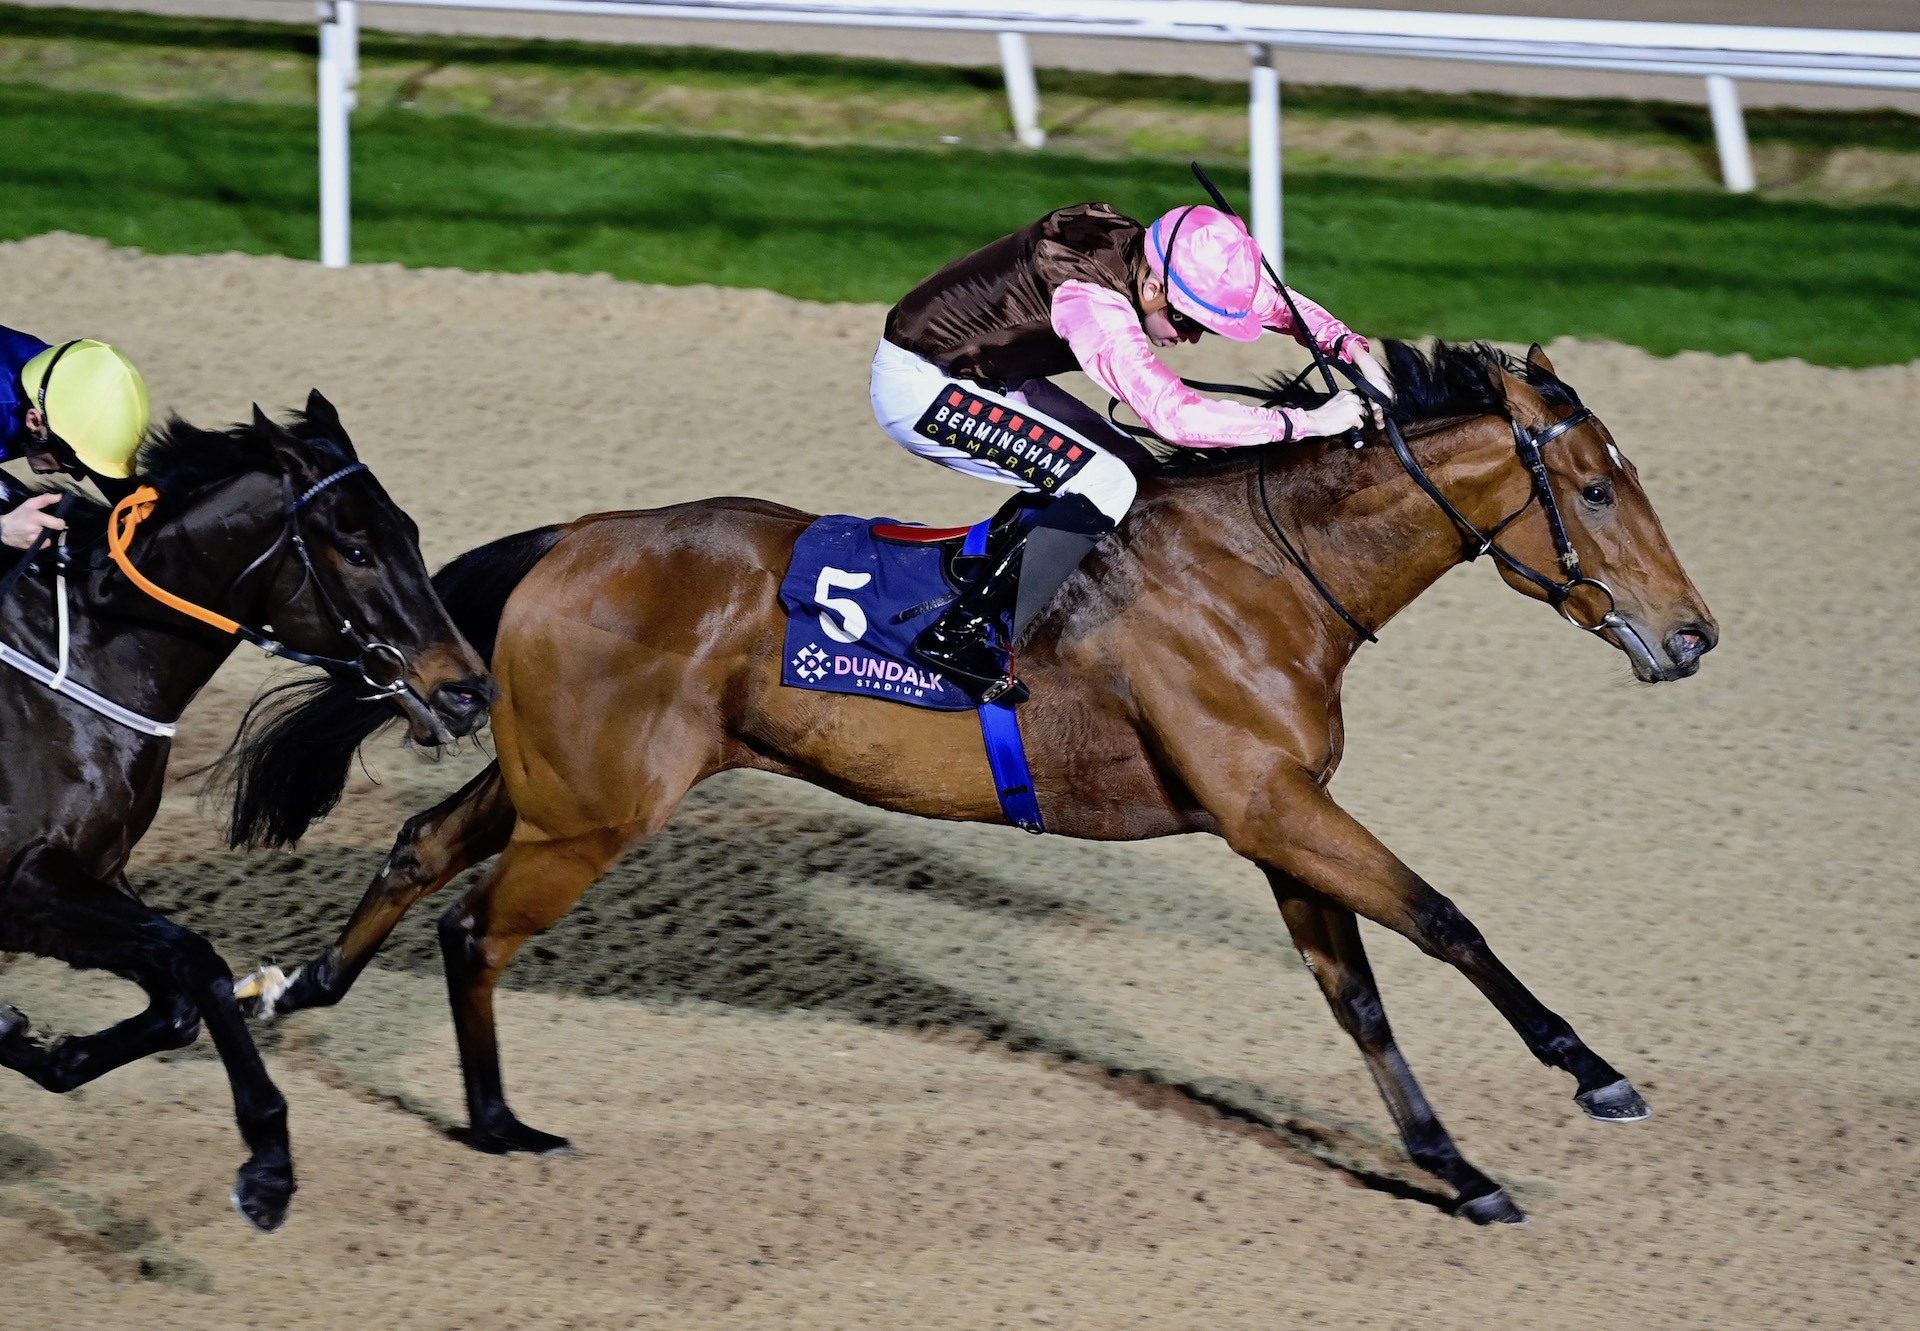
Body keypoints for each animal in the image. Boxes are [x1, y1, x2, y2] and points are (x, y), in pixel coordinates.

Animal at [0, 389, 491, 1229]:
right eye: (355, 549)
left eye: (412, 534)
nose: (466, 691)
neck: (87, 655)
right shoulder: (25, 884)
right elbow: (199, 960)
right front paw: (269, 1163)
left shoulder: (81, 880)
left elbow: (178, 995)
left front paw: (45, 1046)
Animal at [232, 345, 1720, 1221]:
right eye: (1595, 490)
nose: (1695, 634)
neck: (1268, 570)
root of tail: (565, 538)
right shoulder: (1274, 801)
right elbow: (1444, 916)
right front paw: (1592, 1073)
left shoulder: (1273, 816)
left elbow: (1357, 990)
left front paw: (1454, 1168)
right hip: (597, 808)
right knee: (474, 925)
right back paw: (494, 1121)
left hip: (556, 775)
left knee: (423, 846)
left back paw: (303, 990)